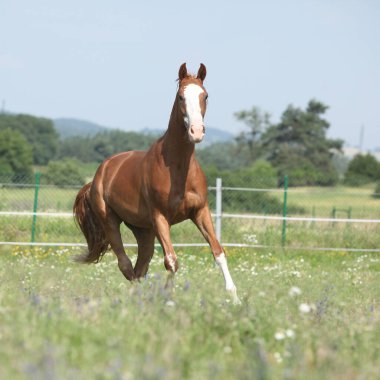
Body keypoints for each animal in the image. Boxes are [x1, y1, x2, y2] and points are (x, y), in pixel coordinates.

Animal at [74, 63, 239, 304]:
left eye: (205, 95)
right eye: (180, 96)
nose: (196, 131)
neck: (178, 169)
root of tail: (98, 175)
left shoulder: (200, 211)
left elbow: (218, 252)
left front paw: (234, 298)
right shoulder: (161, 217)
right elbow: (171, 261)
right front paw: (168, 298)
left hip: (144, 231)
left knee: (139, 268)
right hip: (111, 221)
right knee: (126, 266)